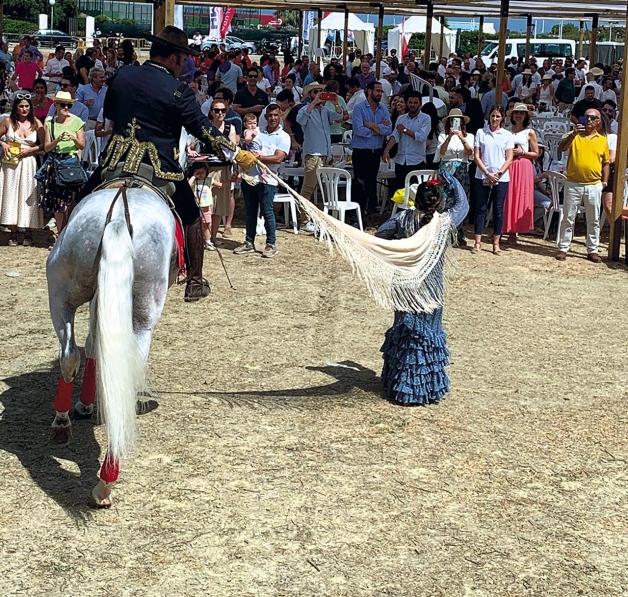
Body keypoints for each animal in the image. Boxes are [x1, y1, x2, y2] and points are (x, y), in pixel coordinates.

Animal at [46, 187, 178, 508]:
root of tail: (118, 216)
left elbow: (95, 346)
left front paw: (85, 404)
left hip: (61, 293)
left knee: (70, 354)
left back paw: (61, 421)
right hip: (143, 311)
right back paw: (105, 483)